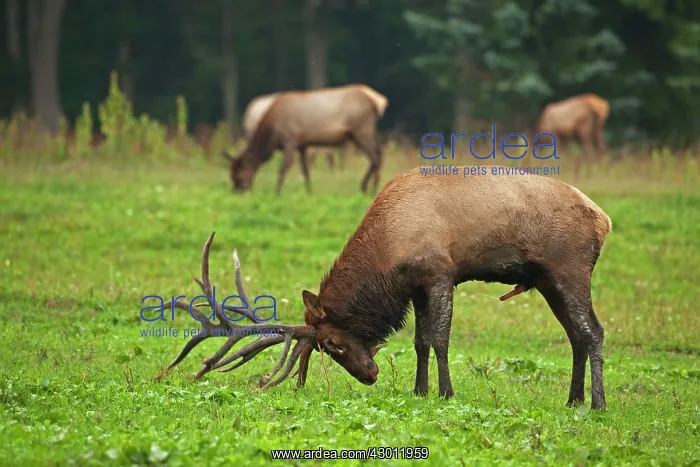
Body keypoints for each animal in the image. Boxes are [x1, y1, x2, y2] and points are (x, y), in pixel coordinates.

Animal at [153, 167, 612, 410]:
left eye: (332, 344)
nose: (370, 375)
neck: (388, 253)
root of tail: (603, 219)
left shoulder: (440, 273)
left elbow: (440, 339)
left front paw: (446, 393)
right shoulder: (417, 287)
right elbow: (420, 341)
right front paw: (420, 391)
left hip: (569, 268)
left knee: (593, 330)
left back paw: (598, 403)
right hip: (545, 280)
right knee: (575, 335)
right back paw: (573, 400)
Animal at [222, 84, 388, 195]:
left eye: (239, 176)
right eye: (231, 175)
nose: (236, 192)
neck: (272, 134)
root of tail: (377, 103)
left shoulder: (290, 139)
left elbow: (284, 168)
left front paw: (277, 193)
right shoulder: (302, 144)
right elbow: (305, 170)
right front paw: (309, 192)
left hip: (361, 129)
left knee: (375, 157)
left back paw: (365, 188)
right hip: (358, 133)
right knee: (379, 152)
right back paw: (374, 187)